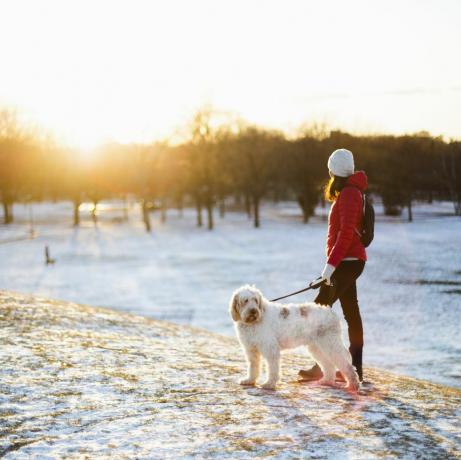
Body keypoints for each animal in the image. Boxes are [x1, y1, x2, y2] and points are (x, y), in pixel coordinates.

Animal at [230, 284, 360, 392]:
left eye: (255, 300)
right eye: (245, 300)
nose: (253, 311)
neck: (255, 321)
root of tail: (332, 313)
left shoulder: (271, 349)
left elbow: (272, 369)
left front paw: (269, 384)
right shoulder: (251, 350)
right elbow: (253, 366)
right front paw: (249, 380)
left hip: (330, 344)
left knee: (346, 366)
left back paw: (352, 385)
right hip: (317, 347)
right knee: (329, 365)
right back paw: (326, 381)